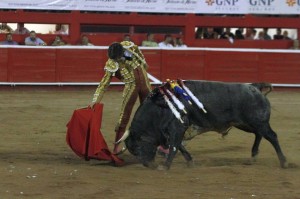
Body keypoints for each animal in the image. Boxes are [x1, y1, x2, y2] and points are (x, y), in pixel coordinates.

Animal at [118, 80, 288, 170]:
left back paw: (284, 162)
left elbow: (174, 146)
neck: (159, 108)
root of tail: (254, 87)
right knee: (259, 134)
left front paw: (165, 166)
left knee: (272, 136)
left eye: (138, 146)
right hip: (245, 124)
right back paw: (253, 156)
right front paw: (189, 161)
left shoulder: (177, 128)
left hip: (257, 121)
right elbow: (180, 146)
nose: (148, 165)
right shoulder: (176, 131)